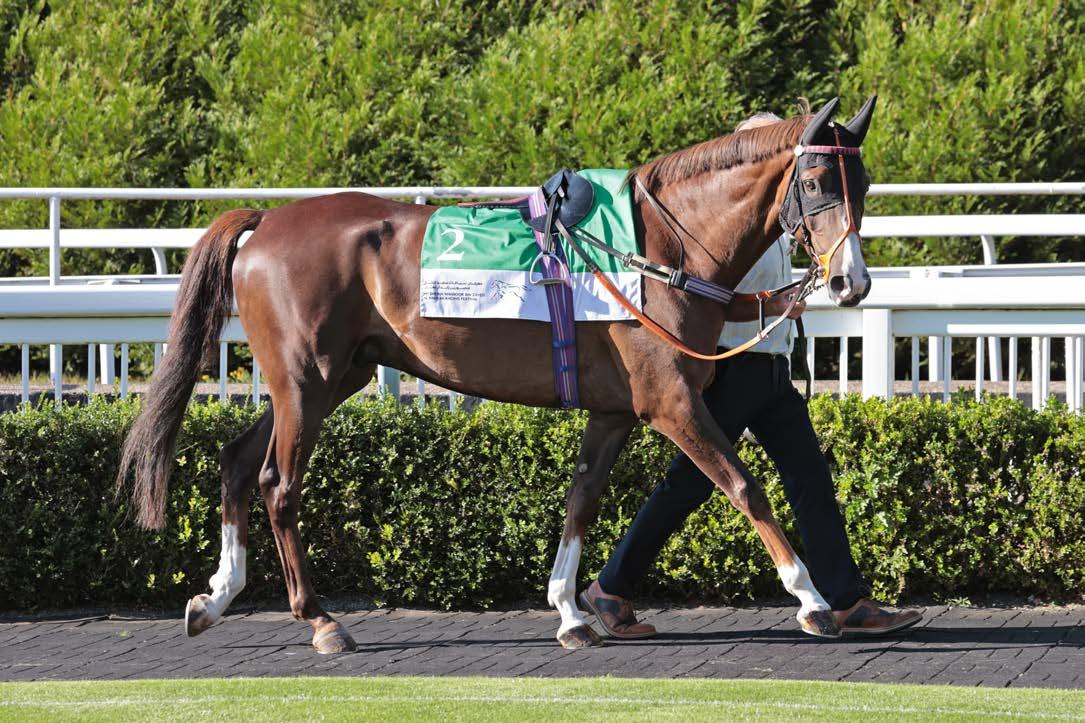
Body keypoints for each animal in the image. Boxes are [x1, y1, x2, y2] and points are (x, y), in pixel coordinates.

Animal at [118, 96, 877, 653]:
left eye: (862, 184)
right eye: (814, 183)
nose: (852, 282)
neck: (658, 250)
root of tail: (266, 222)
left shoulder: (613, 410)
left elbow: (581, 500)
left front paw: (571, 611)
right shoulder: (671, 401)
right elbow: (745, 486)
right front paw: (811, 598)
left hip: (325, 381)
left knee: (236, 461)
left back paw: (215, 596)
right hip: (305, 383)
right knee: (278, 485)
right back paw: (320, 620)